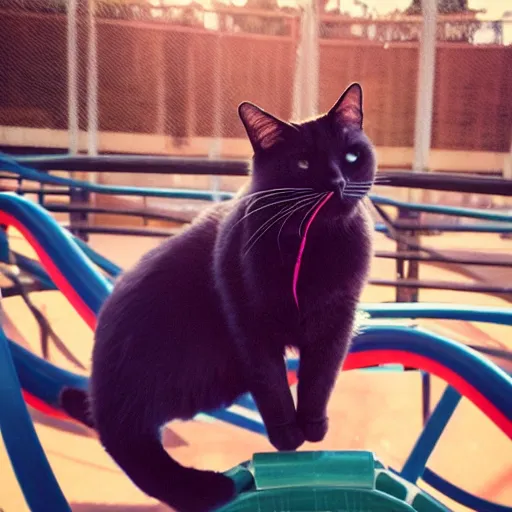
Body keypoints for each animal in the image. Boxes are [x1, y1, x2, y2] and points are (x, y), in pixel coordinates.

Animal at [63, 84, 376, 512]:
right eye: (303, 163)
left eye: (350, 156)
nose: (336, 181)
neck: (313, 245)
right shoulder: (249, 321)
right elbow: (272, 385)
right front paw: (287, 438)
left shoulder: (336, 322)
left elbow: (320, 378)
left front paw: (313, 429)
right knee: (128, 443)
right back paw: (208, 489)